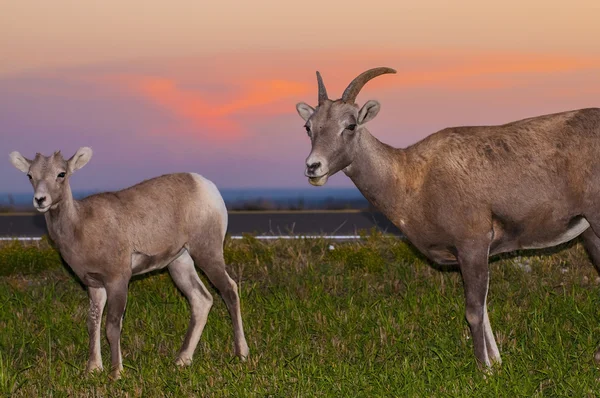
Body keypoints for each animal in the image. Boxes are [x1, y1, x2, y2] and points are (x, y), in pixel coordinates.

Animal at [7, 148, 246, 378]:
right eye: (30, 175)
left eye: (61, 174)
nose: (40, 200)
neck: (80, 226)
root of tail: (206, 186)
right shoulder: (95, 285)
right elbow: (93, 322)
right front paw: (93, 369)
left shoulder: (118, 281)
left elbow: (112, 326)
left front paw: (116, 373)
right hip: (180, 263)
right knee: (201, 300)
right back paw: (181, 361)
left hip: (207, 253)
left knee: (229, 290)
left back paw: (241, 355)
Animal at [298, 67, 600, 368]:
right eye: (309, 127)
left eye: (350, 125)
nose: (313, 167)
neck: (413, 180)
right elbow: (484, 308)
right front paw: (497, 363)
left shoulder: (472, 245)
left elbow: (474, 311)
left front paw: (484, 369)